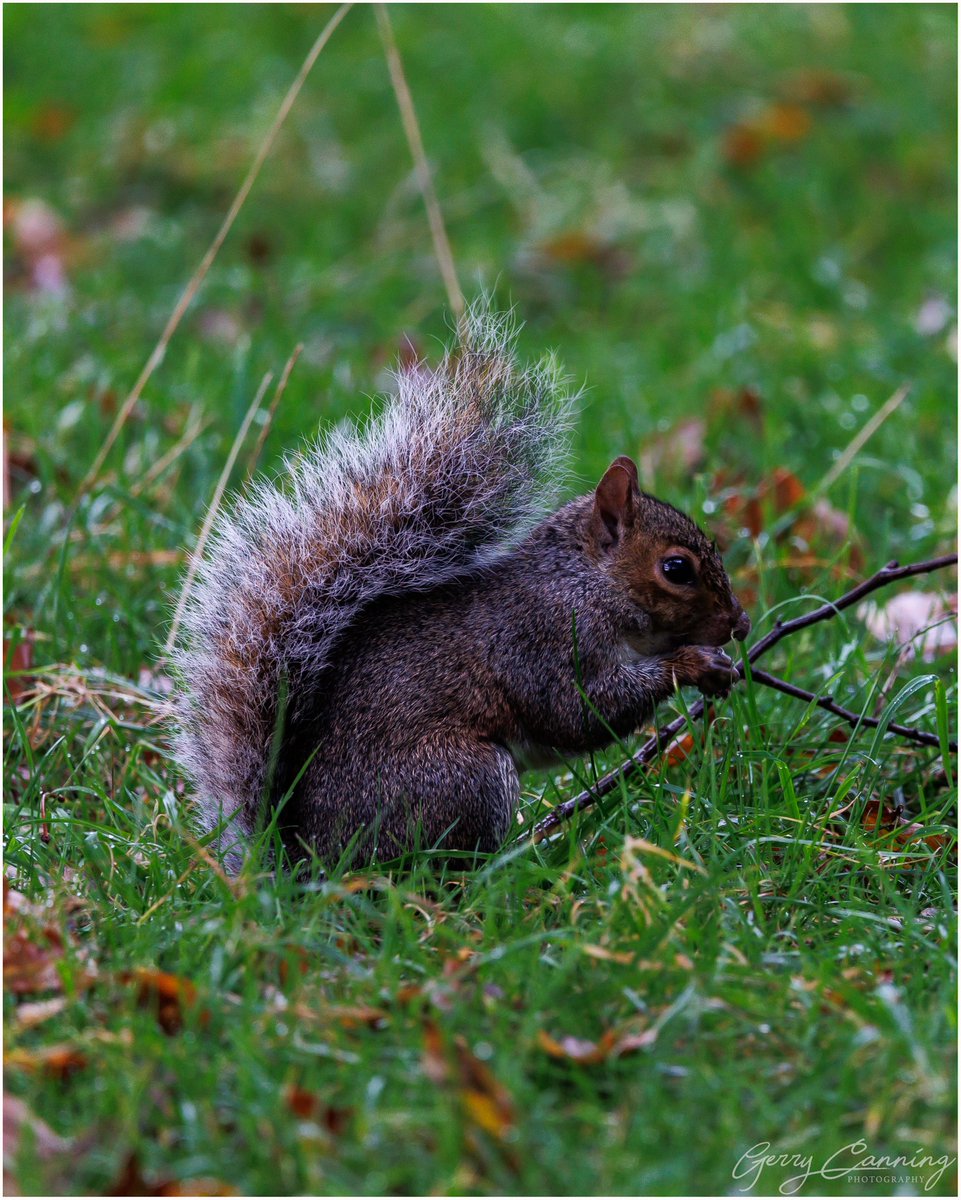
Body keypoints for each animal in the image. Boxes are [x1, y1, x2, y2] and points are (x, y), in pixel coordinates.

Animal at [176, 309, 753, 873]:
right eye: (676, 569)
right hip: (465, 776)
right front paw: (694, 664)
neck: (585, 583)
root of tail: (305, 864)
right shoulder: (540, 640)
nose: (739, 623)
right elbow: (580, 711)